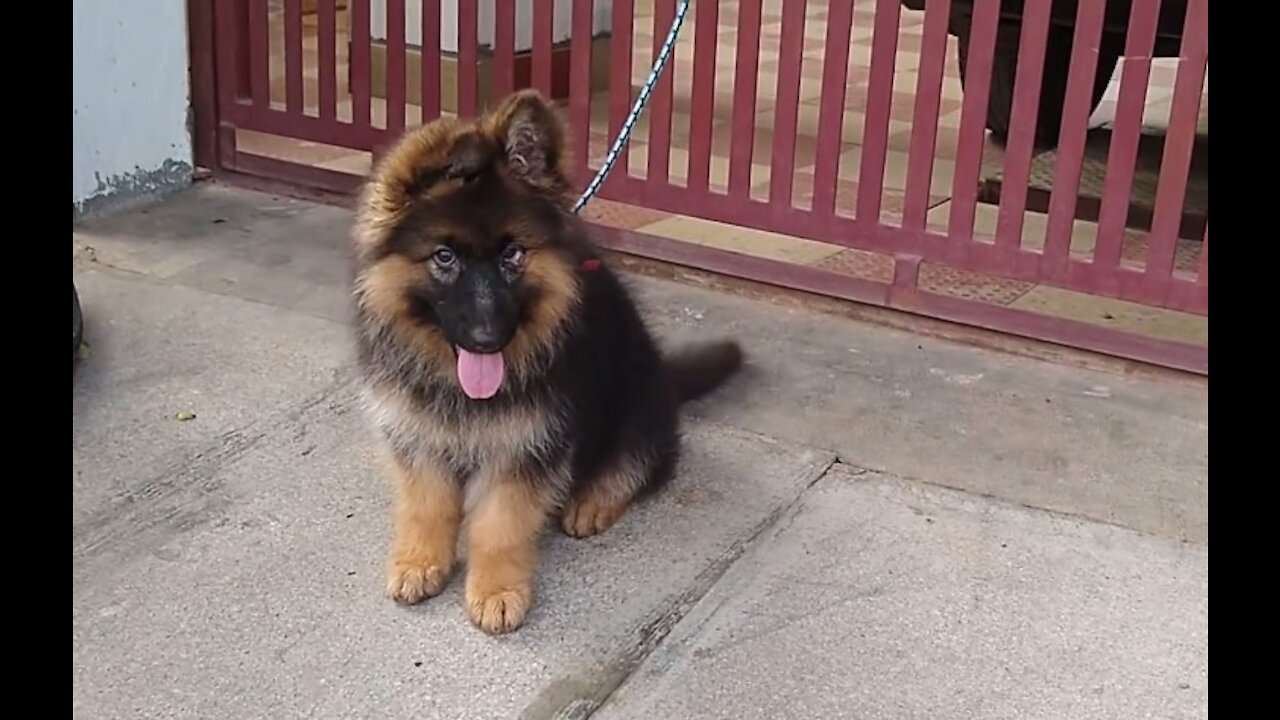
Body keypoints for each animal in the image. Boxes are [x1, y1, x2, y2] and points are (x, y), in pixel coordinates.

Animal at [350, 90, 747, 632]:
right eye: (444, 257)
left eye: (513, 254)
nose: (487, 340)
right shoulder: (418, 435)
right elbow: (426, 505)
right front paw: (419, 560)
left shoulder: (528, 446)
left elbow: (499, 525)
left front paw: (497, 590)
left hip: (637, 397)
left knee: (644, 461)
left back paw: (594, 500)